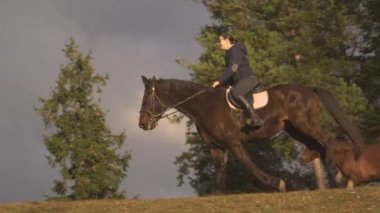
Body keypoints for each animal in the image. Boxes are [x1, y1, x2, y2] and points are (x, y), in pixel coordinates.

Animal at [139, 76, 362, 193]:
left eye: (147, 96)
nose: (142, 124)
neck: (204, 106)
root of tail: (308, 89)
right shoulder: (216, 147)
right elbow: (219, 172)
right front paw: (218, 196)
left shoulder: (233, 143)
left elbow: (249, 165)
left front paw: (277, 183)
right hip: (294, 129)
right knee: (318, 145)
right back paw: (334, 176)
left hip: (304, 124)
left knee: (327, 140)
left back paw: (336, 173)